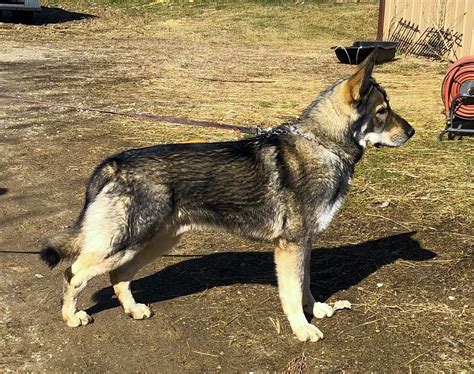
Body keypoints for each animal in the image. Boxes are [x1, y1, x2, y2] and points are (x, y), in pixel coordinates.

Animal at [40, 53, 412, 342]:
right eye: (383, 111)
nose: (411, 131)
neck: (323, 145)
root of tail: (114, 164)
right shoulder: (290, 247)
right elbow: (292, 293)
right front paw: (302, 328)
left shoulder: (303, 244)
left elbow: (305, 286)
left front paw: (316, 310)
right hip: (124, 243)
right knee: (73, 273)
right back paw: (72, 317)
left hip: (154, 243)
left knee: (119, 276)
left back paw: (133, 310)